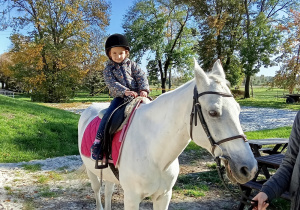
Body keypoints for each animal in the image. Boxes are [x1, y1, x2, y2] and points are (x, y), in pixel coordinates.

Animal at [78, 59, 258, 210]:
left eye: (238, 109)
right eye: (213, 112)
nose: (249, 169)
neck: (154, 152)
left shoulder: (163, 196)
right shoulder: (131, 198)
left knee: (108, 191)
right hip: (92, 173)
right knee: (97, 191)